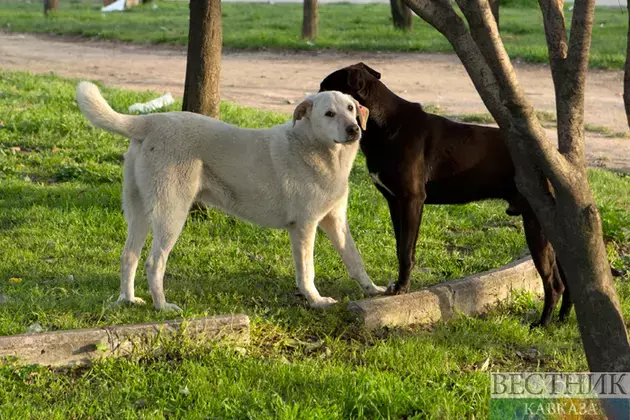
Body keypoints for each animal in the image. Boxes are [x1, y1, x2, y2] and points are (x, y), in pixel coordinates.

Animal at [76, 83, 388, 312]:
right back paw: (162, 307)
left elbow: (355, 259)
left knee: (129, 255)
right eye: (329, 114)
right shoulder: (304, 227)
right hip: (171, 214)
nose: (354, 129)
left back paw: (128, 300)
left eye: (350, 108)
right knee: (154, 263)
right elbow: (307, 270)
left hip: (139, 211)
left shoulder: (336, 221)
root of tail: (150, 121)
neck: (315, 149)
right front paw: (316, 300)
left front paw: (373, 290)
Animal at [320, 62, 572, 326]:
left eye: (326, 88)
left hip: (538, 223)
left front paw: (401, 289)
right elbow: (401, 246)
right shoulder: (395, 203)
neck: (384, 124)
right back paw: (562, 318)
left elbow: (406, 251)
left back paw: (542, 323)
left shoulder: (411, 200)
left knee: (554, 283)